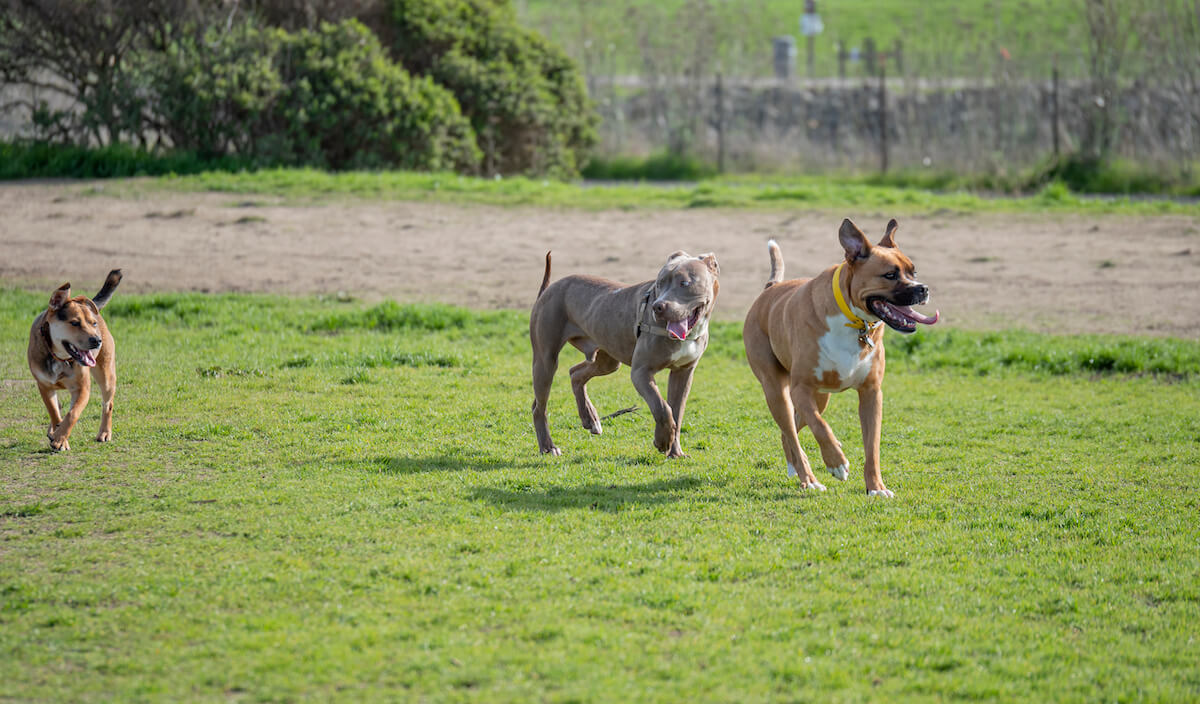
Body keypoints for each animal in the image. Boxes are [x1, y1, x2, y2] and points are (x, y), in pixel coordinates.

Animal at [26, 269, 121, 450]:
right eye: (75, 323)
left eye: (93, 323)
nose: (97, 340)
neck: (59, 357)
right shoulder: (44, 385)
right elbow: (54, 411)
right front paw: (57, 433)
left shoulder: (82, 388)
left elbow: (73, 414)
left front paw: (60, 439)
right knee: (59, 407)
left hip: (106, 375)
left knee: (108, 405)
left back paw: (104, 433)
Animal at [535, 250, 720, 460]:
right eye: (659, 283)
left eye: (685, 283)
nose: (658, 307)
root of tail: (549, 288)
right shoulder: (641, 372)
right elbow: (662, 407)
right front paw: (662, 441)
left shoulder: (683, 372)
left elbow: (676, 412)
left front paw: (675, 452)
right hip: (545, 360)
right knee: (539, 407)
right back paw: (548, 447)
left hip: (607, 360)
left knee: (575, 373)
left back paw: (590, 419)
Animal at [739, 219, 936, 496]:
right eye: (890, 275)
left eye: (913, 272)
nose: (923, 289)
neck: (854, 322)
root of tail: (770, 289)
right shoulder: (801, 389)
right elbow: (821, 427)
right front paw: (836, 463)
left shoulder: (871, 394)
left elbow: (872, 447)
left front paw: (876, 487)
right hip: (777, 392)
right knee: (793, 429)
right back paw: (810, 479)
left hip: (821, 397)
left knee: (790, 433)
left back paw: (797, 468)